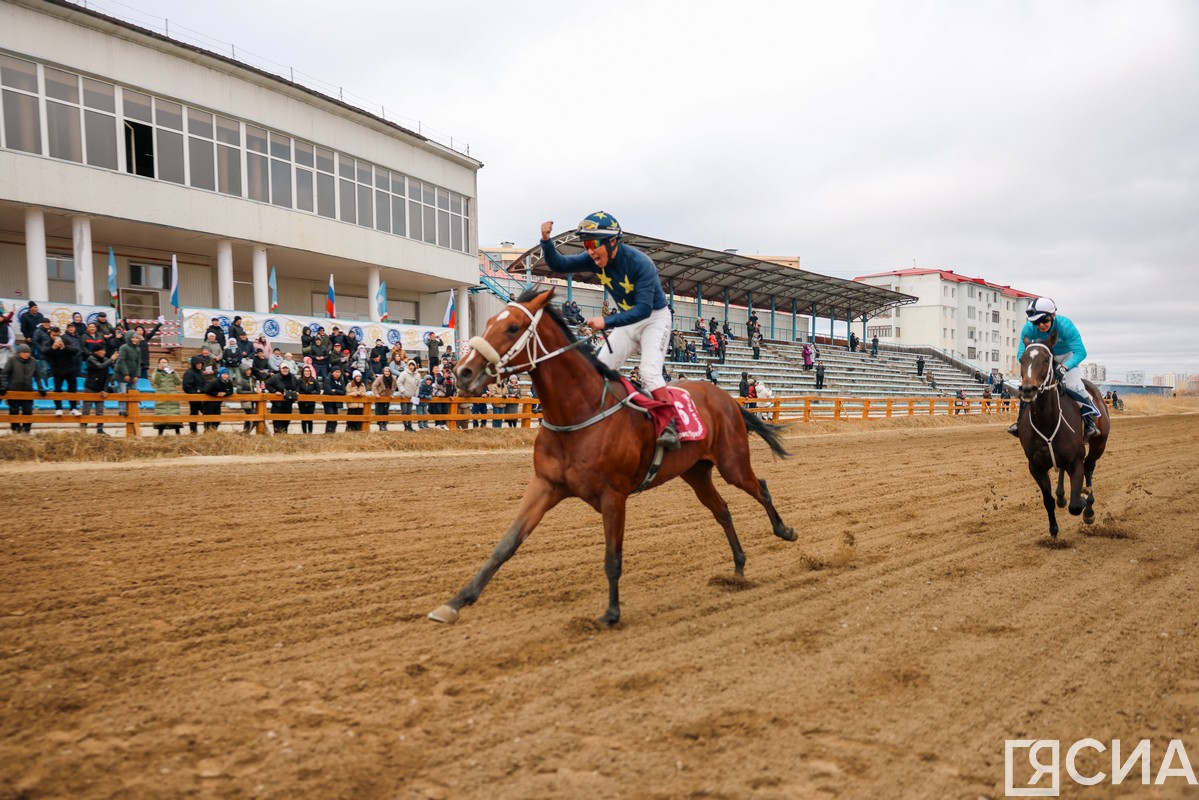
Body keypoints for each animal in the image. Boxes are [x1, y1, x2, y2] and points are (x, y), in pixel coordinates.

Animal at [431, 287, 796, 623]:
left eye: (512, 327)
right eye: (490, 321)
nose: (463, 371)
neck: (579, 412)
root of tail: (726, 397)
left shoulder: (613, 495)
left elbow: (612, 556)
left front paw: (611, 612)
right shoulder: (545, 485)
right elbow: (507, 544)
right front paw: (456, 601)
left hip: (732, 463)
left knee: (760, 488)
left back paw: (785, 531)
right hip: (696, 472)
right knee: (722, 510)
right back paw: (738, 566)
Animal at [1021, 340, 1112, 537]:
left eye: (1046, 360)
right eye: (1021, 359)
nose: (1028, 389)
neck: (1046, 422)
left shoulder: (1076, 460)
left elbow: (1076, 504)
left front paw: (1084, 501)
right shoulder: (1035, 466)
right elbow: (1048, 500)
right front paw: (1054, 530)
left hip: (1099, 445)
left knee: (1089, 466)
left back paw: (1089, 506)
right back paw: (1062, 495)